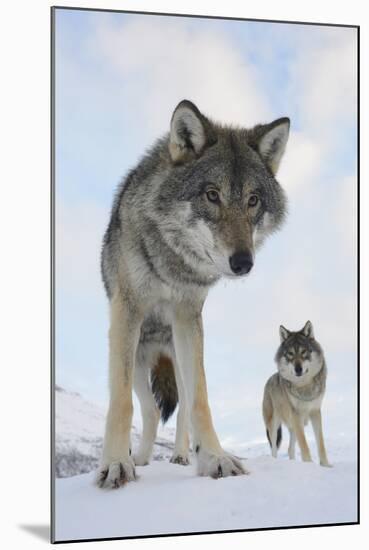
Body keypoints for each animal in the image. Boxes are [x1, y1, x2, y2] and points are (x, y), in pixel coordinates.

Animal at [96, 100, 288, 492]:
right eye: (212, 195)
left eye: (253, 200)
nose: (243, 263)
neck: (172, 261)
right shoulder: (127, 313)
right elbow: (120, 403)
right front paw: (117, 464)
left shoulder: (188, 317)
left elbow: (200, 400)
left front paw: (214, 458)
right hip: (137, 358)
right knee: (151, 409)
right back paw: (141, 458)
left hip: (178, 355)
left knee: (182, 405)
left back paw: (183, 455)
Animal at [262, 324, 330, 470]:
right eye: (290, 354)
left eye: (304, 352)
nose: (298, 369)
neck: (304, 387)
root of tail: (270, 380)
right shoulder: (296, 414)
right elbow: (304, 445)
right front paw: (309, 465)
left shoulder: (315, 412)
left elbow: (321, 444)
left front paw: (326, 465)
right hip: (274, 425)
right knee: (274, 449)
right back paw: (275, 463)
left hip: (293, 426)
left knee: (290, 449)